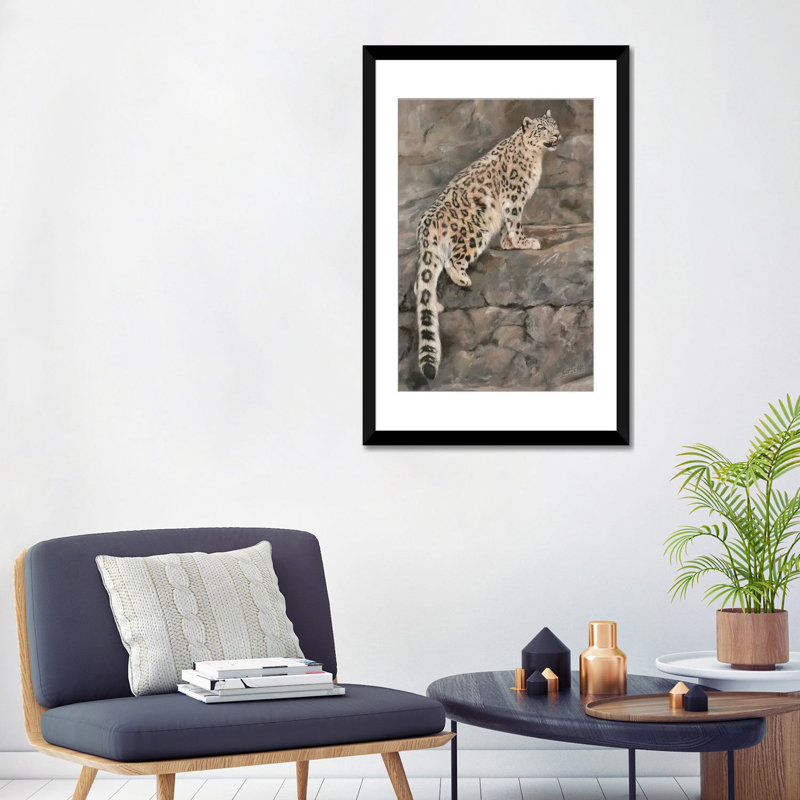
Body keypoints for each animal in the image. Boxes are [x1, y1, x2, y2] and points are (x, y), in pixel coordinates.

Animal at [414, 110, 561, 381]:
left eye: (554, 125)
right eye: (543, 128)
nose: (557, 135)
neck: (536, 159)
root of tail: (426, 223)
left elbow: (506, 225)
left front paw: (508, 243)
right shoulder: (514, 196)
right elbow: (514, 221)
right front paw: (524, 241)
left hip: (434, 253)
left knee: (423, 282)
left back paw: (435, 305)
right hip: (475, 232)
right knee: (453, 261)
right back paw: (462, 279)